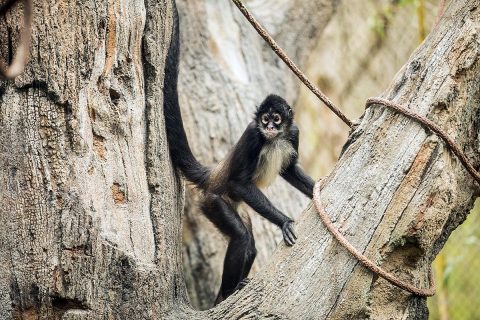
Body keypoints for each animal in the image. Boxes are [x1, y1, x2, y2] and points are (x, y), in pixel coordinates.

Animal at [161, 3, 316, 306]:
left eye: (277, 119)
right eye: (265, 119)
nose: (269, 127)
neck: (274, 138)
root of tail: (212, 175)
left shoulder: (293, 132)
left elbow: (289, 170)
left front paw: (315, 191)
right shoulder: (252, 135)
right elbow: (240, 182)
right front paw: (284, 221)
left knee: (251, 246)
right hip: (214, 201)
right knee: (243, 238)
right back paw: (226, 294)